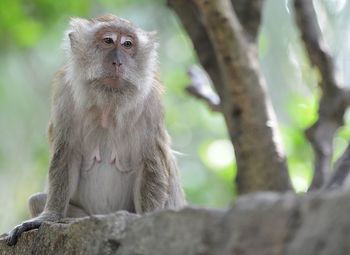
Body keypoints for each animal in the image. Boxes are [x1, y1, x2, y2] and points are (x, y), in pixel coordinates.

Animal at [4, 14, 186, 247]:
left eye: (127, 44)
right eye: (108, 40)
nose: (117, 61)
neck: (108, 103)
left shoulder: (151, 103)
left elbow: (151, 162)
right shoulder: (65, 94)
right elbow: (65, 155)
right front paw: (48, 217)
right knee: (36, 200)